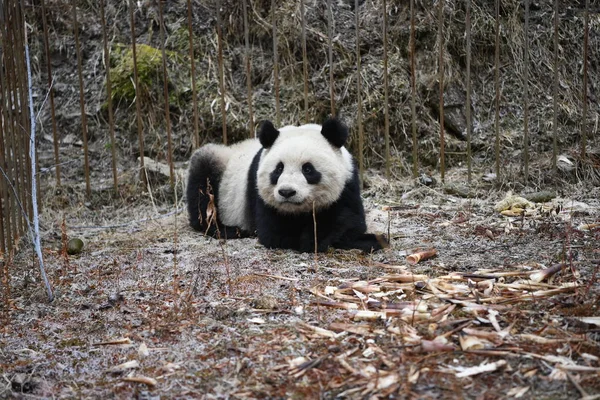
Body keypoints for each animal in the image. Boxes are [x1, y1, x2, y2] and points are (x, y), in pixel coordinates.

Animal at [188, 117, 390, 252]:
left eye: (308, 169)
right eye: (278, 169)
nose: (286, 192)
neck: (296, 211)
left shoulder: (348, 184)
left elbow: (351, 220)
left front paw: (371, 239)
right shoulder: (260, 195)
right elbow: (276, 233)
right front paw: (312, 238)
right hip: (218, 164)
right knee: (201, 190)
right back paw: (230, 229)